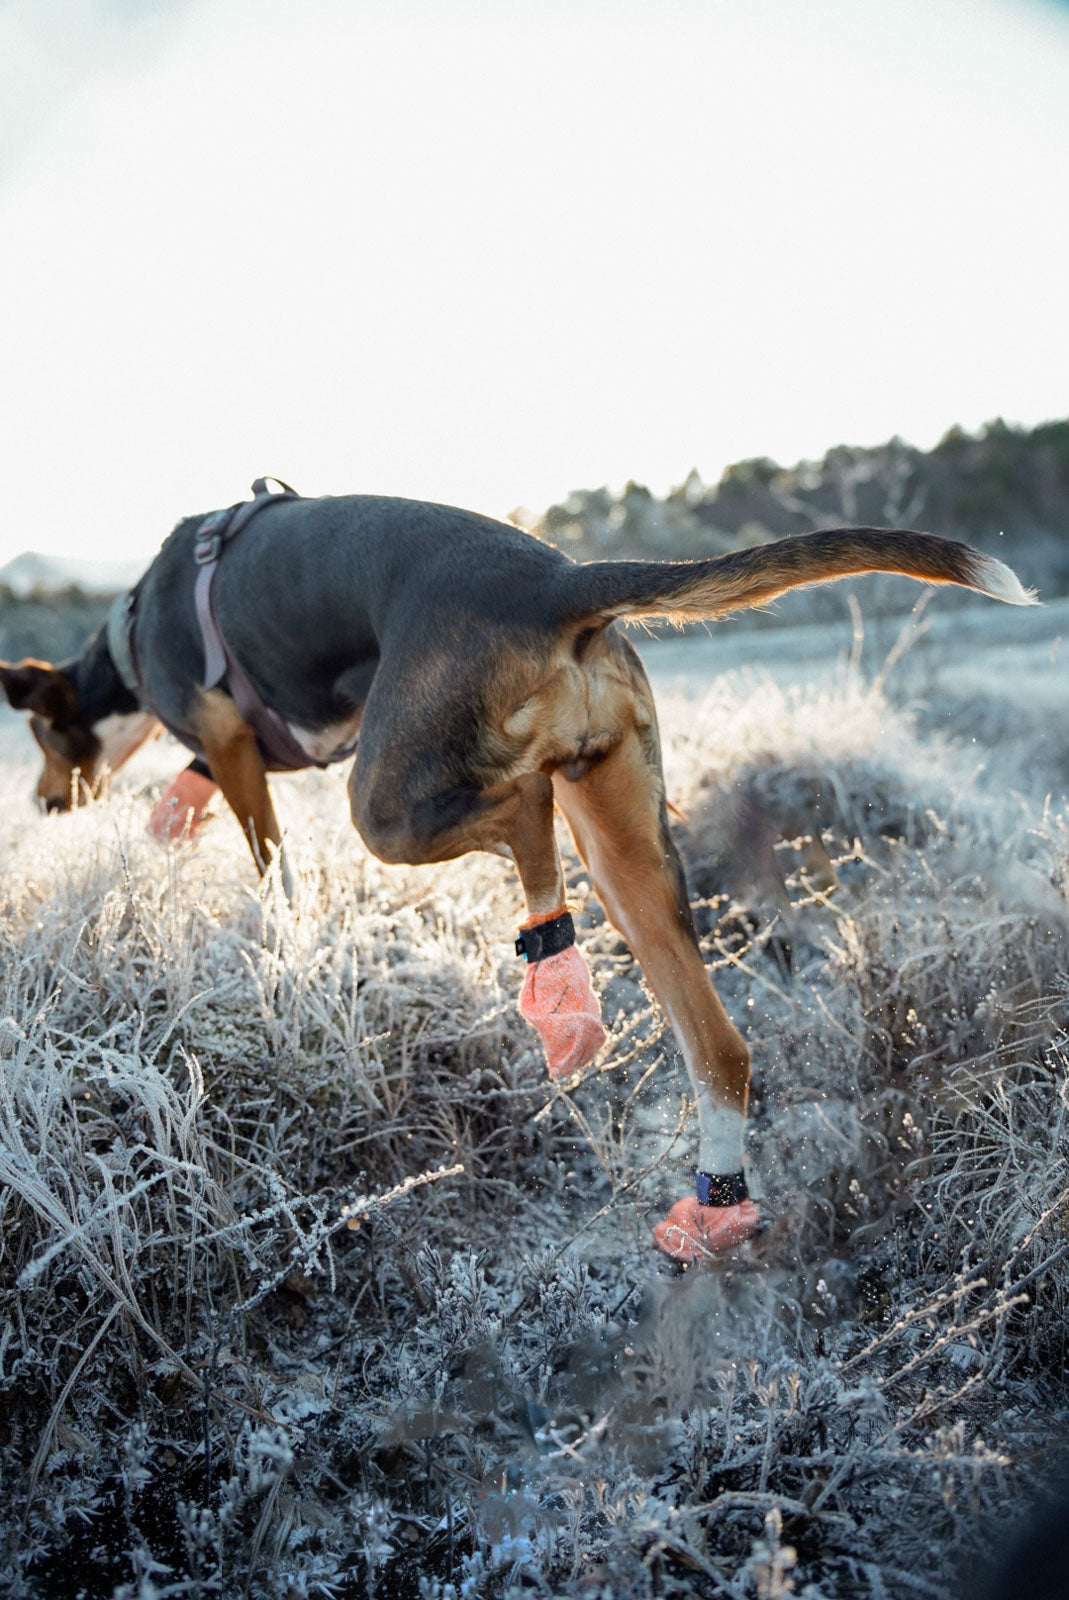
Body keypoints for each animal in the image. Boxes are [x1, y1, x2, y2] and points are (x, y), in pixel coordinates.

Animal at [0, 483, 1036, 1260]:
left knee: (522, 812)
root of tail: (557, 579)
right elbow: (196, 796)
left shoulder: (230, 744)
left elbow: (268, 860)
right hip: (626, 845)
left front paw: (276, 927)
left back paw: (553, 986)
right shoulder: (229, 755)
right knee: (716, 1043)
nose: (44, 806)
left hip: (394, 801)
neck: (134, 630)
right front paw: (167, 825)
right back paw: (702, 1192)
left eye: (41, 737)